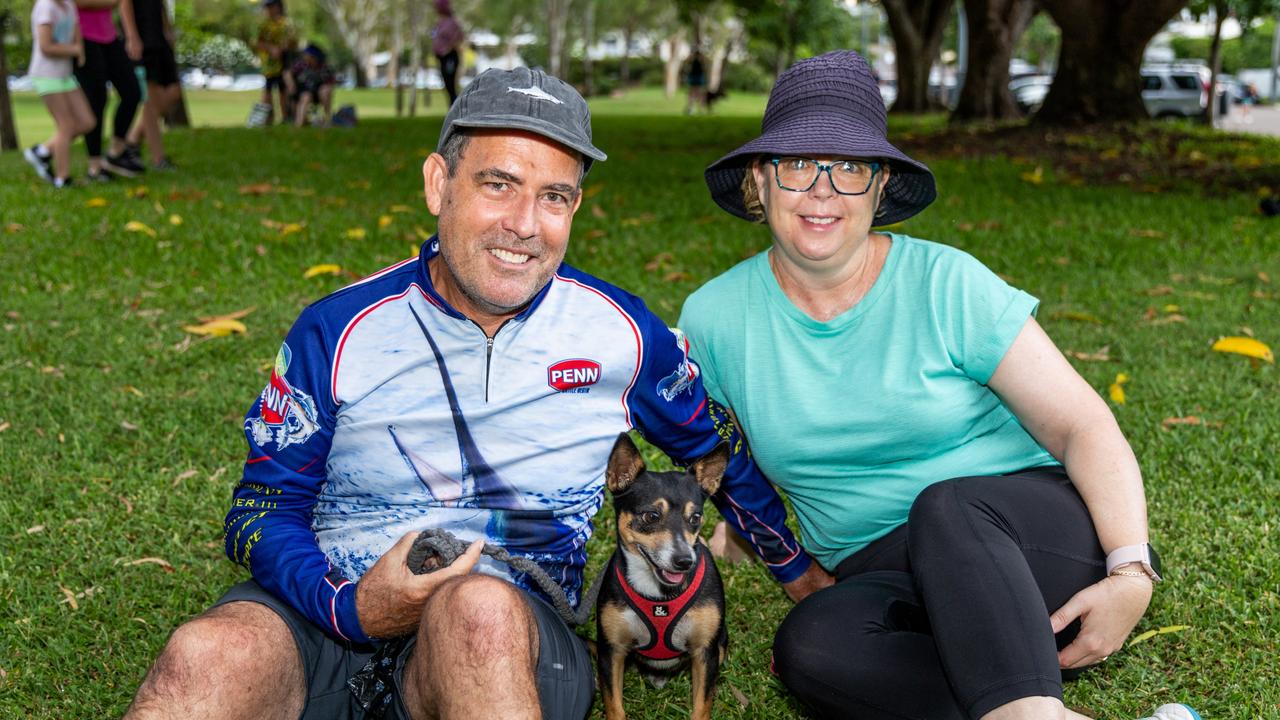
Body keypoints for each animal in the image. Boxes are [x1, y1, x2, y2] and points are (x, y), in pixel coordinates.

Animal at [596, 430, 732, 717]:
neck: (658, 595)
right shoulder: (610, 651)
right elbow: (614, 706)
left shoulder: (705, 653)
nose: (684, 561)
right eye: (651, 516)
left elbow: (701, 707)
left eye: (695, 518)